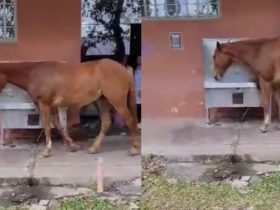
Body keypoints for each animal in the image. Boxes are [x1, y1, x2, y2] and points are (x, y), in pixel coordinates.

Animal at [0, 59, 140, 158]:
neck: (34, 73)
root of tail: (124, 69)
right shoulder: (52, 106)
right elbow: (58, 125)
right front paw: (73, 146)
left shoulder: (44, 104)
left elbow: (47, 127)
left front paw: (46, 151)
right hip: (102, 101)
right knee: (106, 123)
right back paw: (93, 149)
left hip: (117, 101)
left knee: (130, 120)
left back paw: (134, 149)